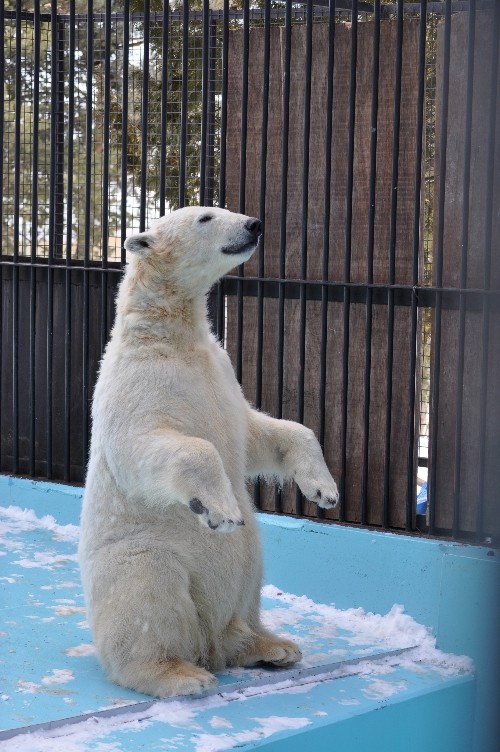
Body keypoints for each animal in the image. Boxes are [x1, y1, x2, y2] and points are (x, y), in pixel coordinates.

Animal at [79, 207, 340, 700]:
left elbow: (257, 433)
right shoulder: (137, 387)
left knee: (250, 575)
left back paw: (271, 645)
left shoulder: (221, 373)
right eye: (206, 216)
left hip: (248, 567)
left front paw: (323, 488)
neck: (168, 336)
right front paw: (220, 509)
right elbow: (149, 446)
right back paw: (179, 674)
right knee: (150, 596)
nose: (254, 224)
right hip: (143, 555)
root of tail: (207, 644)